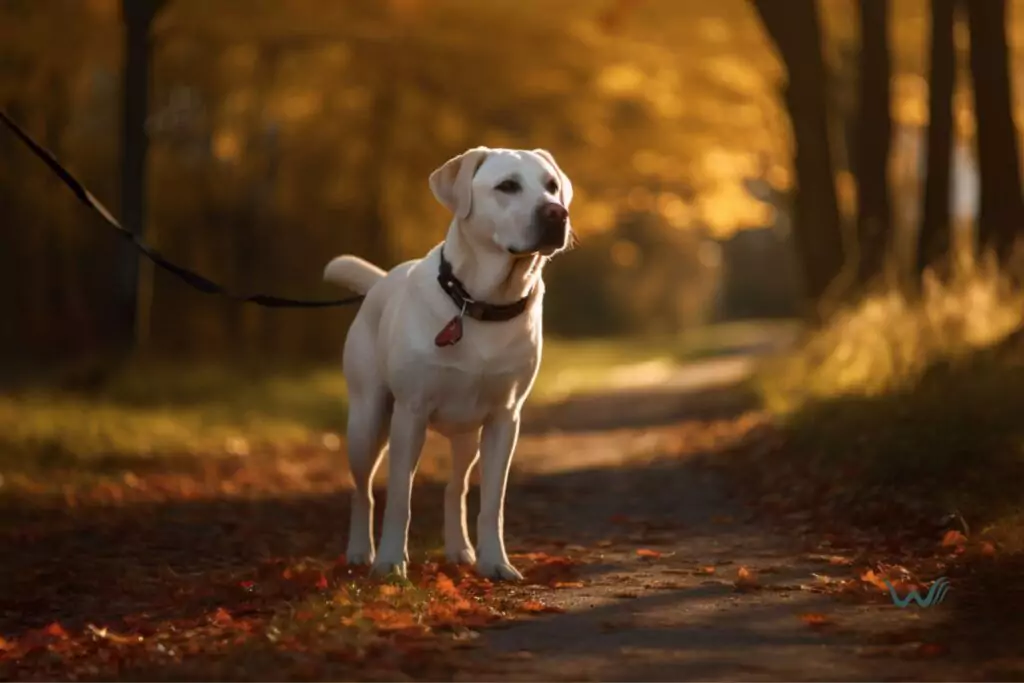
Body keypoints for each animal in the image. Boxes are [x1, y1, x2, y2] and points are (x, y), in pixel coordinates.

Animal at [323, 147, 573, 581]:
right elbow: (399, 498)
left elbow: (492, 502)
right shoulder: (410, 413)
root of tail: (380, 282)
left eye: (552, 186)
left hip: (467, 435)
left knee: (454, 487)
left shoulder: (505, 418)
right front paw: (391, 562)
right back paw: (360, 552)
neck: (481, 303)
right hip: (367, 421)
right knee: (363, 491)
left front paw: (496, 562)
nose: (558, 213)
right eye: (508, 186)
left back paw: (459, 549)